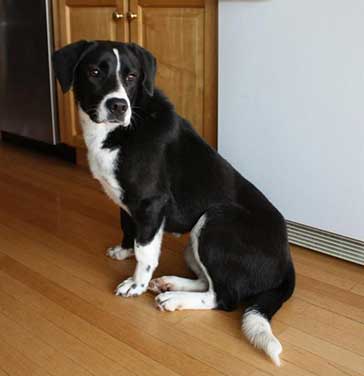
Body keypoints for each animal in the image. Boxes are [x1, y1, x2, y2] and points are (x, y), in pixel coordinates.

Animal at [52, 41, 294, 368]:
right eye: (94, 72)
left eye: (131, 76)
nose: (118, 106)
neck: (122, 129)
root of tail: (287, 262)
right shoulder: (129, 203)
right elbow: (127, 226)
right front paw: (124, 250)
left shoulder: (151, 203)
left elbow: (146, 251)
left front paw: (136, 284)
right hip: (194, 245)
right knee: (207, 280)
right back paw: (170, 284)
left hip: (216, 220)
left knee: (223, 297)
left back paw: (174, 298)